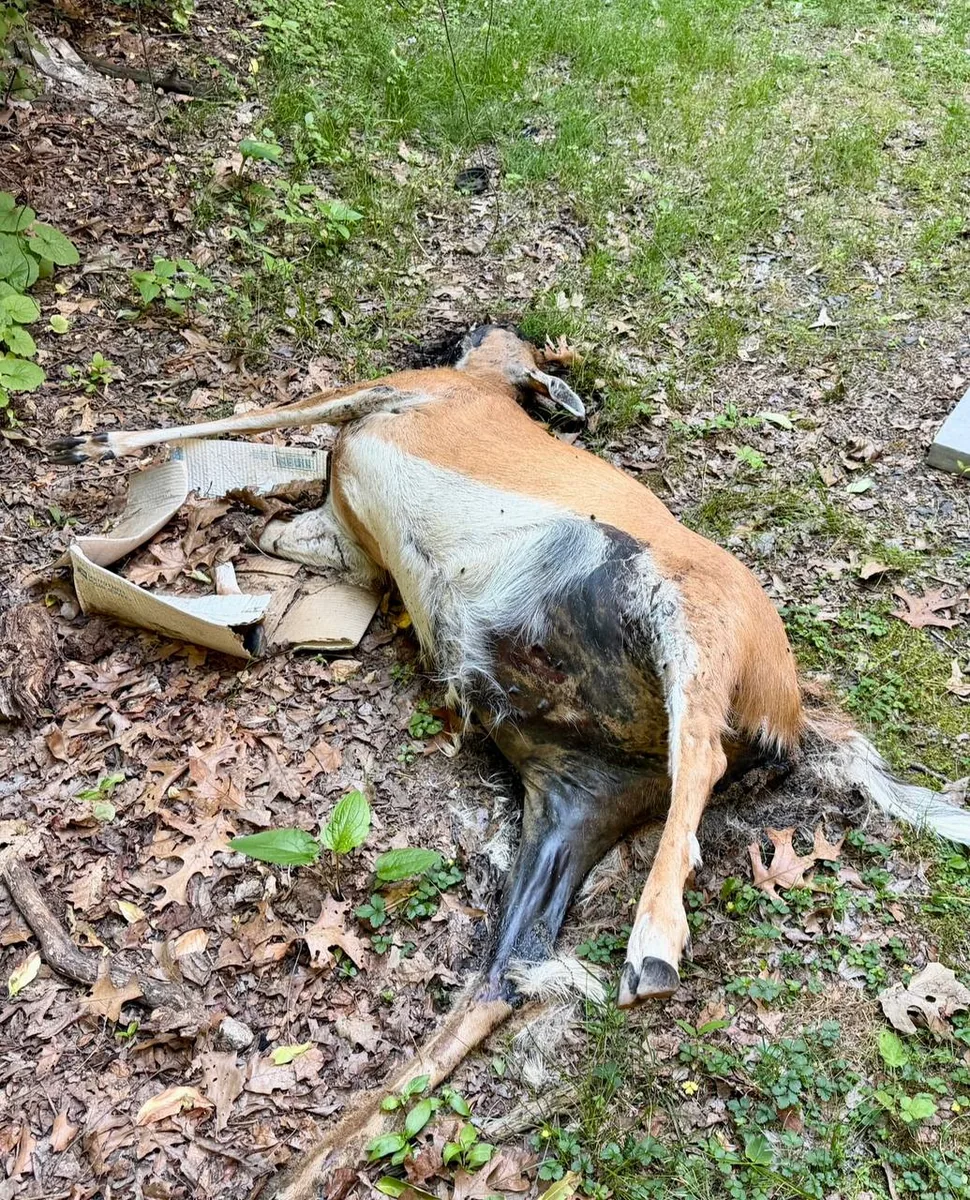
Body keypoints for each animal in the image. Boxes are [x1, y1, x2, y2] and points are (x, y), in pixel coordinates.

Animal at [51, 326, 970, 1199]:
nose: (455, 334)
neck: (482, 386)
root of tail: (791, 713)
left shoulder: (389, 392)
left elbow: (253, 416)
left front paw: (93, 442)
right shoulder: (346, 541)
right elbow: (283, 518)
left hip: (692, 617)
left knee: (700, 760)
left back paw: (654, 944)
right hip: (576, 795)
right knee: (501, 978)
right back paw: (308, 1167)